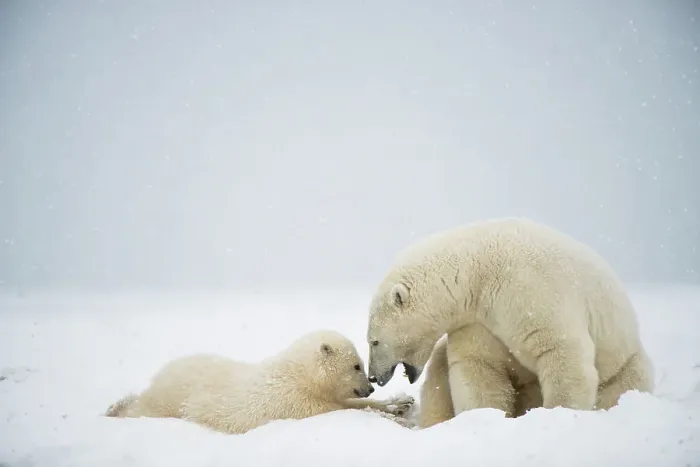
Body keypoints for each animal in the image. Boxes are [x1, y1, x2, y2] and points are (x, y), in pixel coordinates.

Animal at [105, 329, 415, 434]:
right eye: (356, 365)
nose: (370, 387)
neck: (296, 376)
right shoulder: (294, 402)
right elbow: (345, 409)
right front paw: (396, 411)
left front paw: (402, 402)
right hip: (168, 398)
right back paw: (116, 408)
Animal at [365, 217, 654, 422]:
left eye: (374, 341)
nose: (373, 377)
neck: (478, 270)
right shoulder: (478, 321)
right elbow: (481, 366)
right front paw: (485, 417)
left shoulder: (530, 288)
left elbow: (561, 350)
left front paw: (556, 413)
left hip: (625, 361)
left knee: (621, 385)